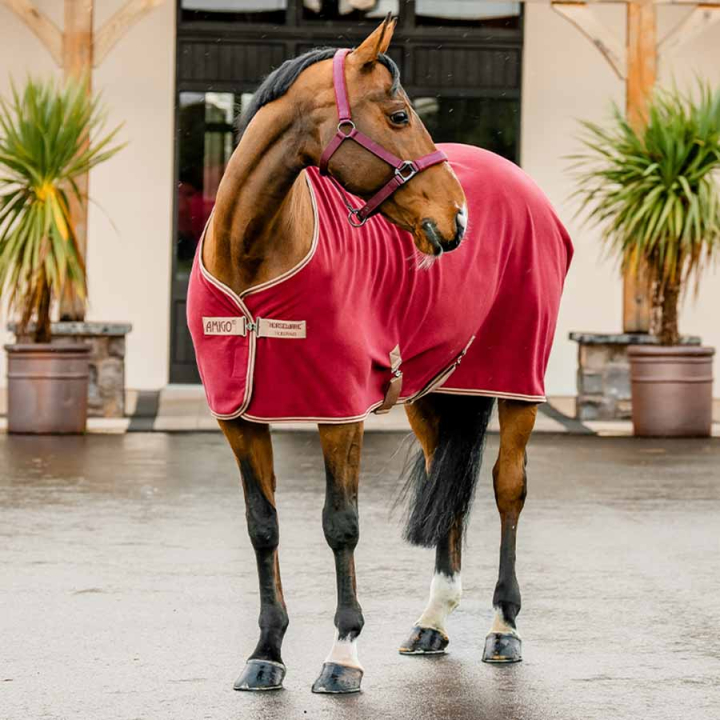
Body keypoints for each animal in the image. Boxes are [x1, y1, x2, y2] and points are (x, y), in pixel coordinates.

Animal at [187, 17, 572, 694]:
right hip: (432, 392)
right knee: (449, 491)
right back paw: (431, 624)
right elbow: (263, 525)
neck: (253, 255)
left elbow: (341, 524)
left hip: (518, 383)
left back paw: (504, 629)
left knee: (508, 490)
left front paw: (342, 656)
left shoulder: (340, 413)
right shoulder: (237, 417)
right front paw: (266, 653)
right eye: (398, 115)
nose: (458, 217)